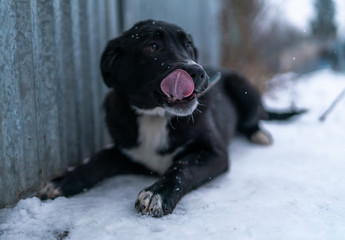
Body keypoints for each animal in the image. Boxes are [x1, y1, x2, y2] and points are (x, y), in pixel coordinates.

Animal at [37, 19, 300, 217]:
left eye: (189, 45)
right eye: (153, 46)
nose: (198, 72)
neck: (155, 116)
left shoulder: (214, 152)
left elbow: (182, 166)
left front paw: (157, 193)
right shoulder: (128, 153)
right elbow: (97, 160)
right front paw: (63, 181)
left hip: (243, 87)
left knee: (254, 118)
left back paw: (260, 134)